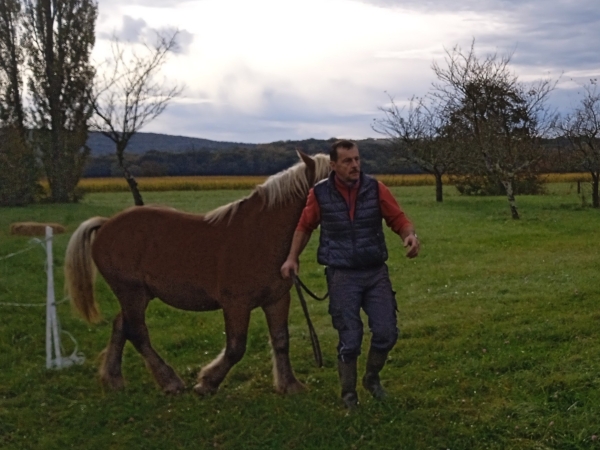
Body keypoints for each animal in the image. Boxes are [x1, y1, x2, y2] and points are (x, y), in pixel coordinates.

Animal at [63, 153, 330, 396]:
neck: (260, 234)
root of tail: (106, 224)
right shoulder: (236, 304)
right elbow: (236, 347)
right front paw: (208, 382)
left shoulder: (277, 300)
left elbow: (281, 341)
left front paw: (289, 384)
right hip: (132, 293)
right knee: (137, 333)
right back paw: (169, 381)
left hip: (138, 295)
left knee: (121, 326)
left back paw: (113, 378)